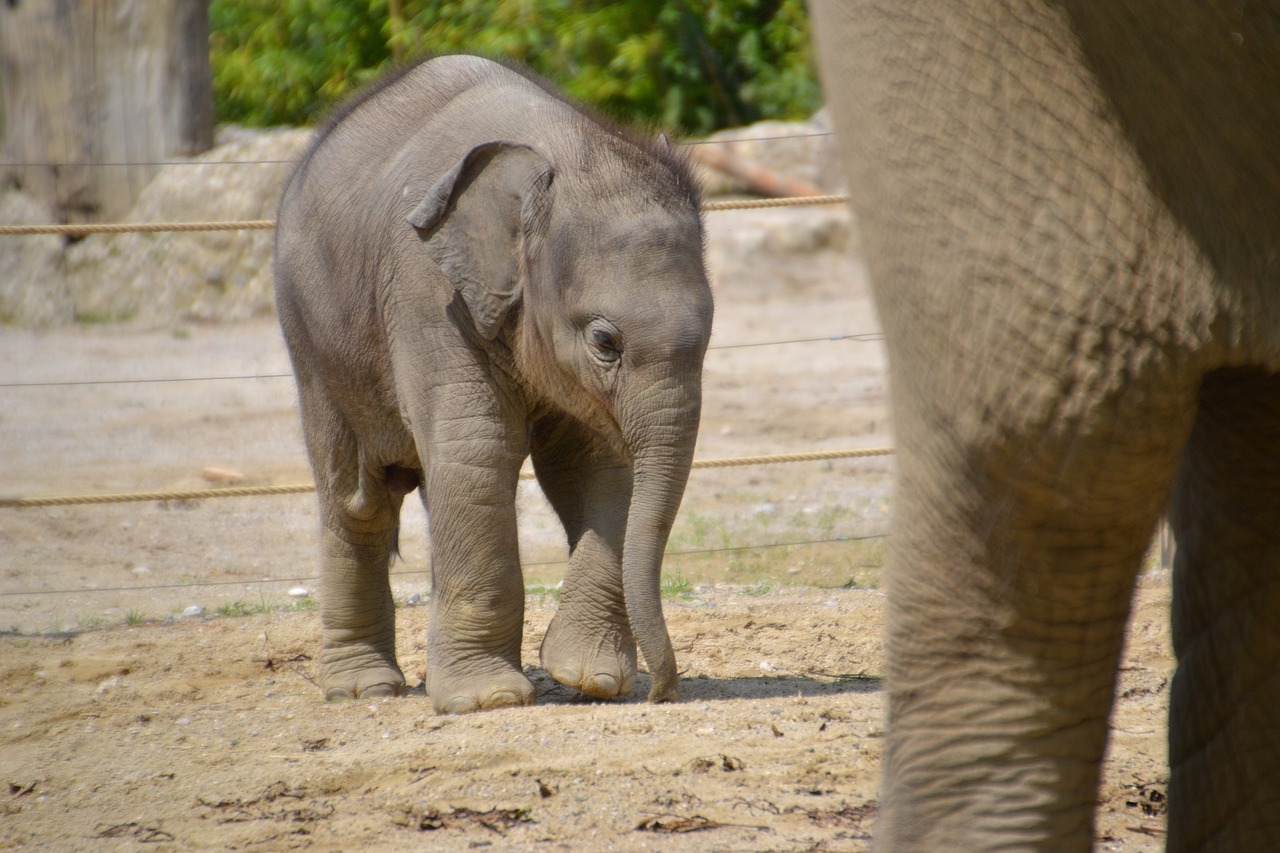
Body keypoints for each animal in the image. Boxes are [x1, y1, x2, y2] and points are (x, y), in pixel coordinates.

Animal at [275, 54, 716, 712]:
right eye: (605, 342)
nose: (664, 692)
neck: (563, 149)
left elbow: (604, 464)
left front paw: (589, 679)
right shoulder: (428, 294)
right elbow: (477, 450)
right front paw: (489, 700)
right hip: (313, 337)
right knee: (355, 498)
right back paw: (364, 689)